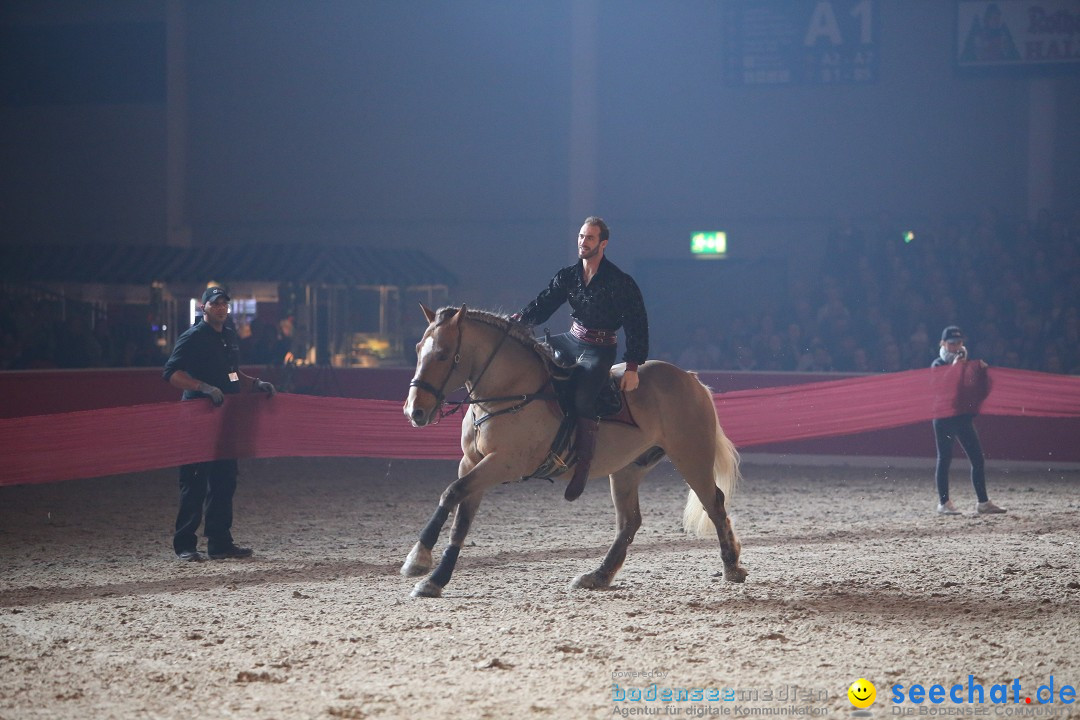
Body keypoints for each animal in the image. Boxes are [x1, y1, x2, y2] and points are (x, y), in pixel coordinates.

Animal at [401, 304, 747, 595]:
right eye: (418, 350)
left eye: (443, 354)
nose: (414, 411)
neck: (512, 393)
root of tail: (690, 380)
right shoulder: (472, 463)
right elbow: (460, 517)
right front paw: (435, 578)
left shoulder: (503, 463)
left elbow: (451, 493)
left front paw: (419, 558)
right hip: (627, 470)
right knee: (630, 523)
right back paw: (598, 575)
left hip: (692, 457)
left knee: (714, 504)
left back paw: (731, 565)